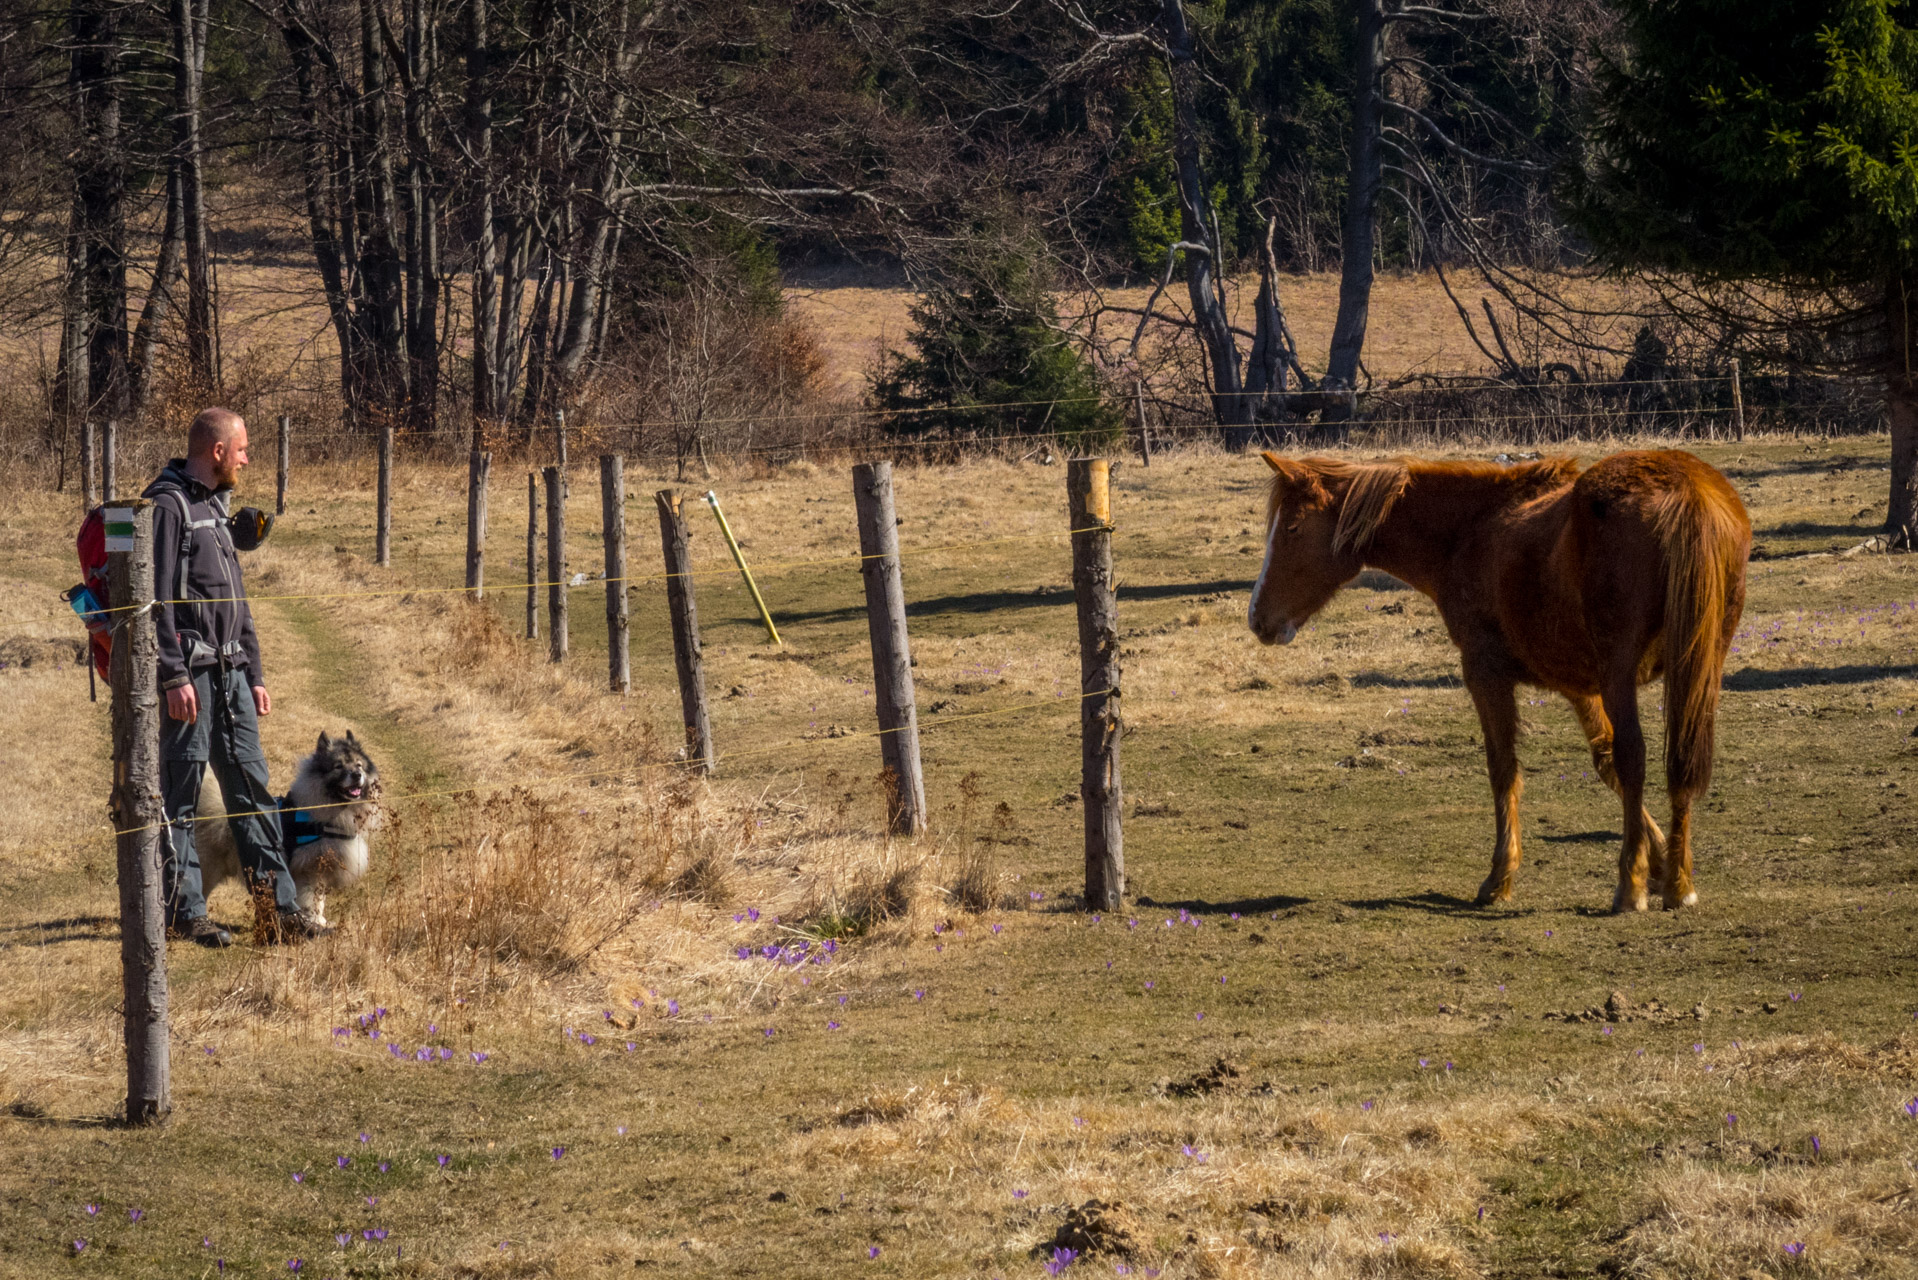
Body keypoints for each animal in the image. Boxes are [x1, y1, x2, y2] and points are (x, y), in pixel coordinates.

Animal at [200, 729, 383, 932]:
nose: (357, 774)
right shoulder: (311, 871)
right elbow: (313, 900)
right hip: (208, 869)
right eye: (338, 766)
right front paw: (315, 922)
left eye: (359, 765)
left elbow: (321, 899)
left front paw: (321, 922)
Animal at [1242, 450, 1756, 909]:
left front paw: (1499, 877)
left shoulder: (1486, 673)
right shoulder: (1578, 686)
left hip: (1621, 674)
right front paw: (1662, 861)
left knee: (1638, 756)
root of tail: (1683, 489)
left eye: (1291, 528)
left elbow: (1504, 768)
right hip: (1699, 669)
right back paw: (1680, 884)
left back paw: (1629, 886)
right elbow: (1605, 760)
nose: (1257, 619)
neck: (1470, 530)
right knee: (1680, 760)